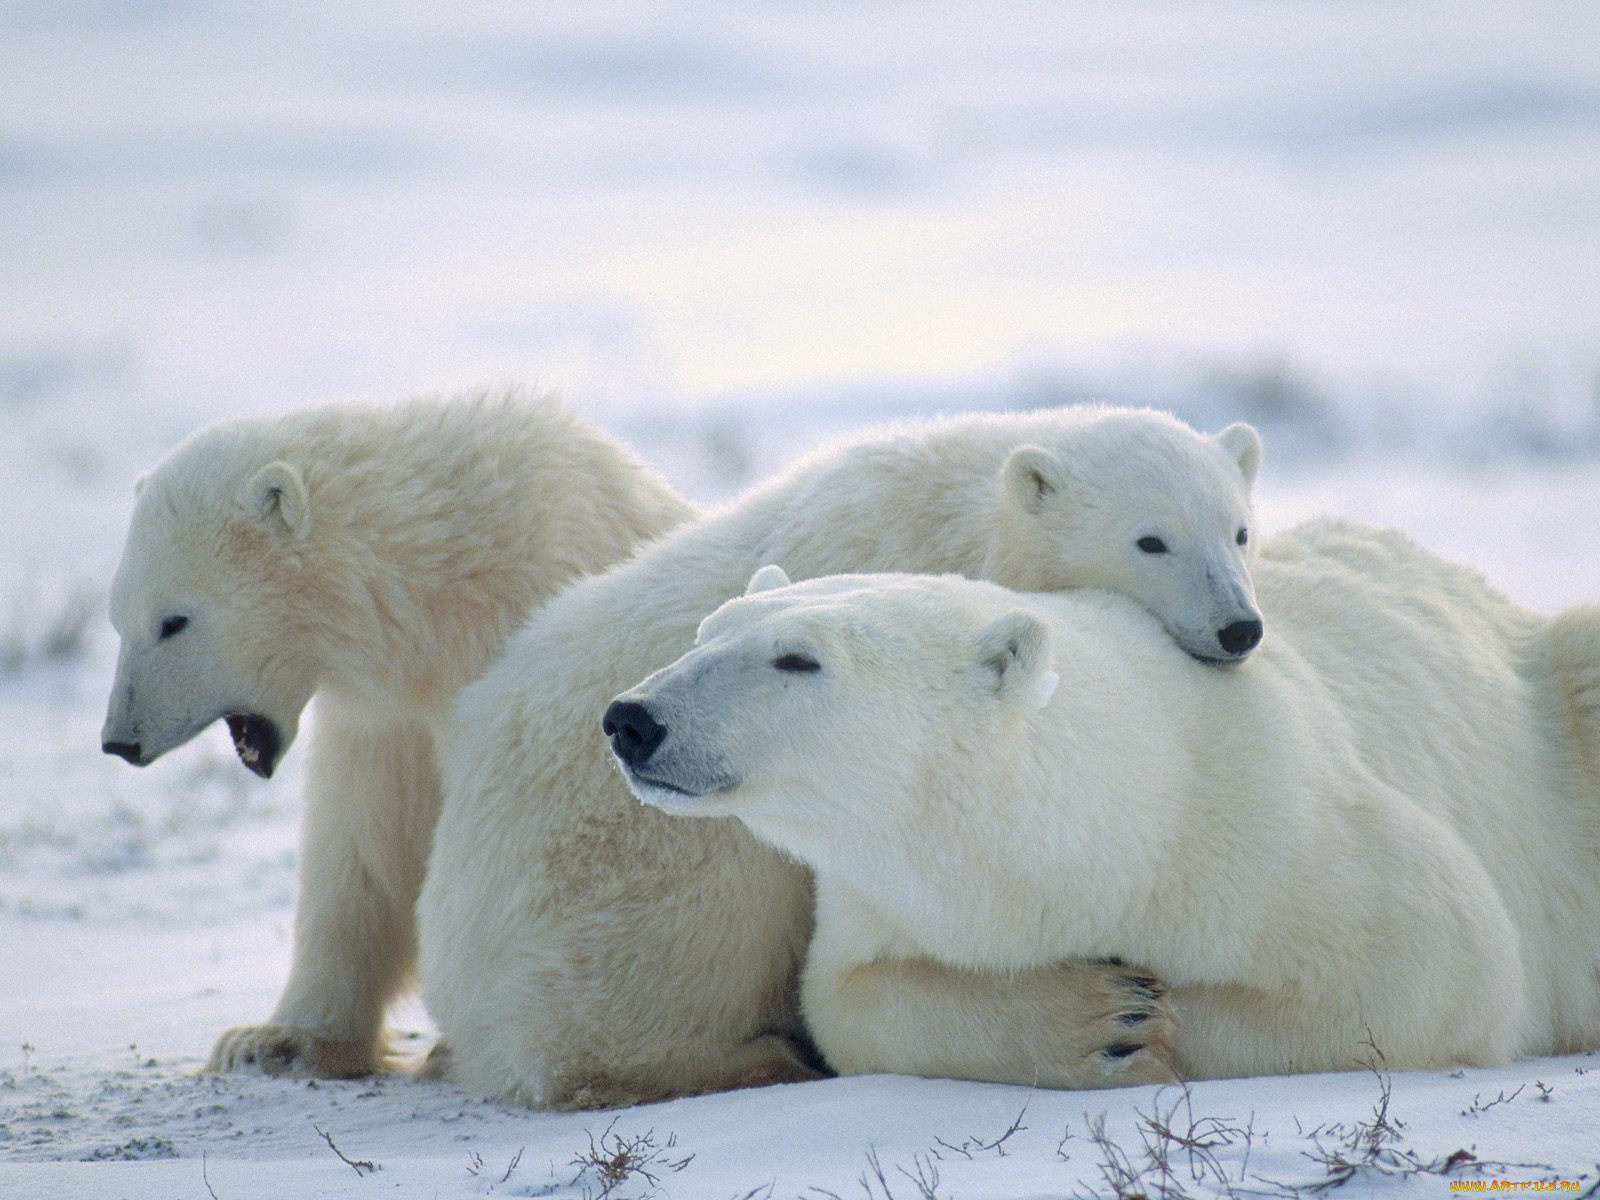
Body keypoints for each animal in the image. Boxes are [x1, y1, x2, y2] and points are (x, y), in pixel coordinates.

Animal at [103, 392, 691, 1081]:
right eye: (117, 619)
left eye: (174, 621)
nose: (120, 740)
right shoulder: (386, 722)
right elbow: (362, 849)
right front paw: (274, 1040)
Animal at [416, 409, 1260, 1113]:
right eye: (1151, 539)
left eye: (1239, 531)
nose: (1239, 628)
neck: (966, 513)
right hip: (615, 874)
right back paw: (753, 1059)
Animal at [608, 524, 1600, 1081]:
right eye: (706, 632)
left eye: (798, 658)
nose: (632, 719)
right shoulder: (879, 903)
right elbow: (851, 1003)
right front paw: (1099, 1021)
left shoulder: (1280, 833)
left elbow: (1444, 964)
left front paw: (1153, 1023)